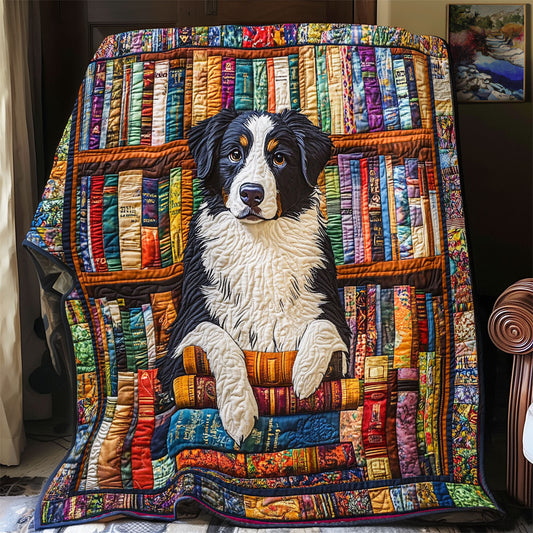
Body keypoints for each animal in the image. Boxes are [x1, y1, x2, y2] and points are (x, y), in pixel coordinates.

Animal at [164, 109, 352, 444]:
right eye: (234, 154)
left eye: (279, 158)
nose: (251, 193)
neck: (260, 244)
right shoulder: (184, 328)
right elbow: (221, 340)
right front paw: (238, 413)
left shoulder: (332, 312)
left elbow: (323, 327)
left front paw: (304, 376)